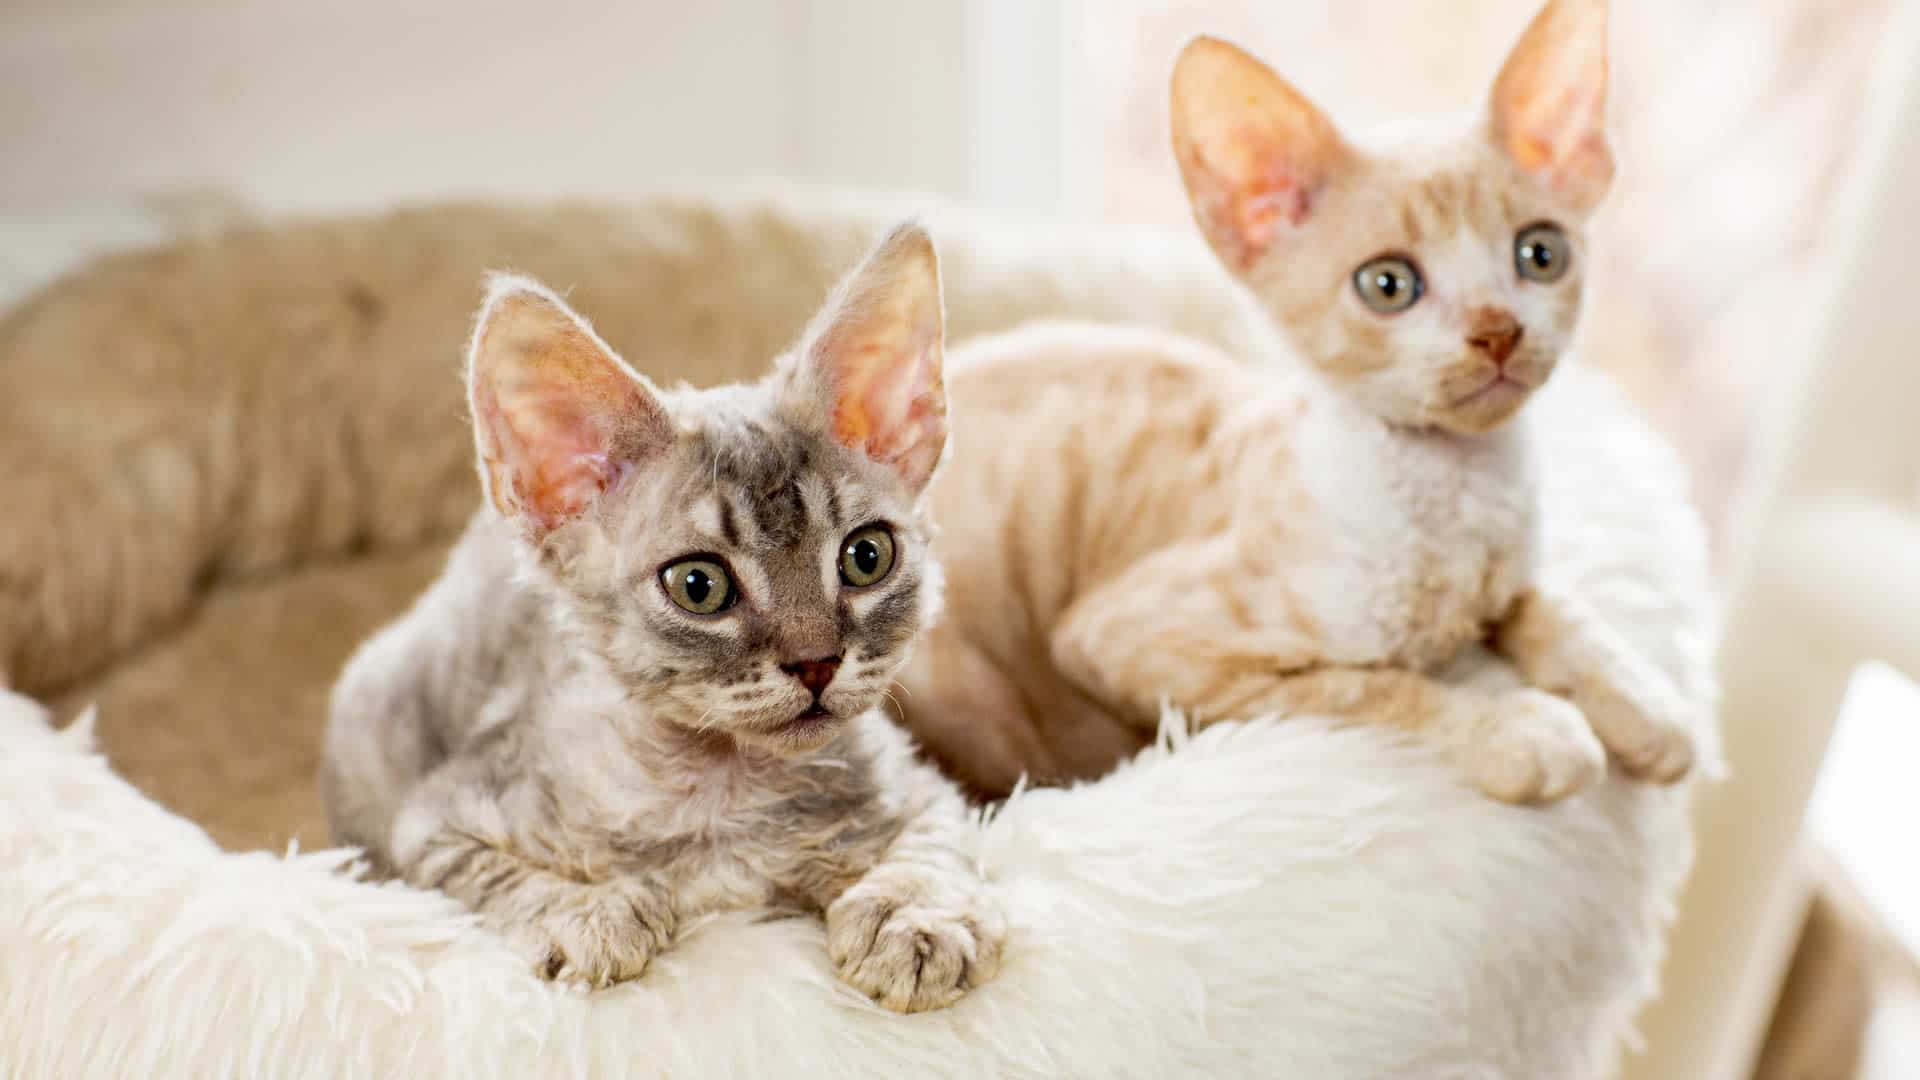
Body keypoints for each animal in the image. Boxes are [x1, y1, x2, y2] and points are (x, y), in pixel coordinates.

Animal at [318, 222, 1006, 1006]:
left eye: (867, 557)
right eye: (698, 586)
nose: (817, 662)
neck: (725, 797)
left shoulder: (923, 788)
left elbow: (935, 844)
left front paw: (916, 918)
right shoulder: (433, 822)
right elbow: (496, 882)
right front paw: (587, 912)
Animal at [890, 0, 1689, 799]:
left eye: (1540, 254)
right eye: (1388, 285)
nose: (1497, 331)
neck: (1457, 501)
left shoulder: (1507, 577)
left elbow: (1547, 606)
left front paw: (1646, 705)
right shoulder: (1127, 638)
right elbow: (1368, 686)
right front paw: (1515, 729)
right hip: (976, 698)